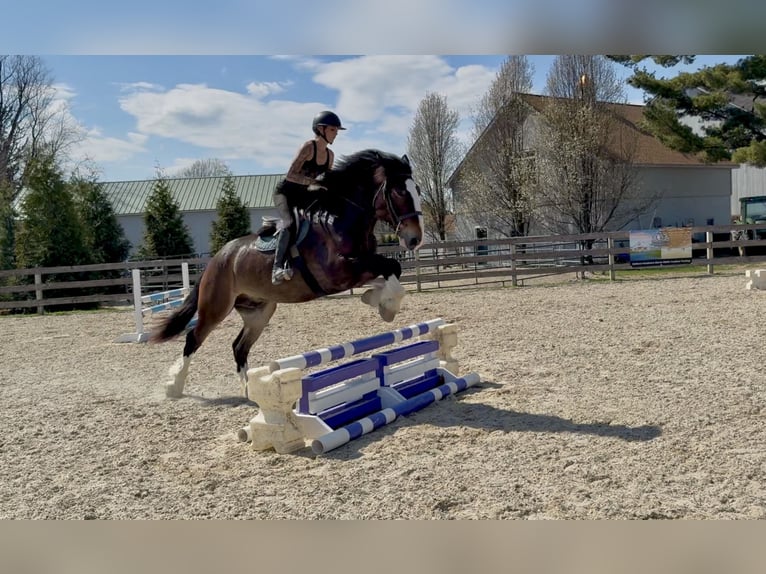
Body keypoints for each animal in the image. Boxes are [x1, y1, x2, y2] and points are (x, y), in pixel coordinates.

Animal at [150, 149, 425, 398]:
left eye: (418, 191)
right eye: (400, 192)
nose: (415, 239)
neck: (342, 220)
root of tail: (217, 258)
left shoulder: (358, 269)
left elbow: (392, 271)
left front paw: (380, 302)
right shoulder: (338, 273)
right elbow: (389, 268)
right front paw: (385, 305)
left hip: (259, 312)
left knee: (239, 347)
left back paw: (249, 391)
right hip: (216, 307)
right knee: (193, 338)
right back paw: (175, 386)